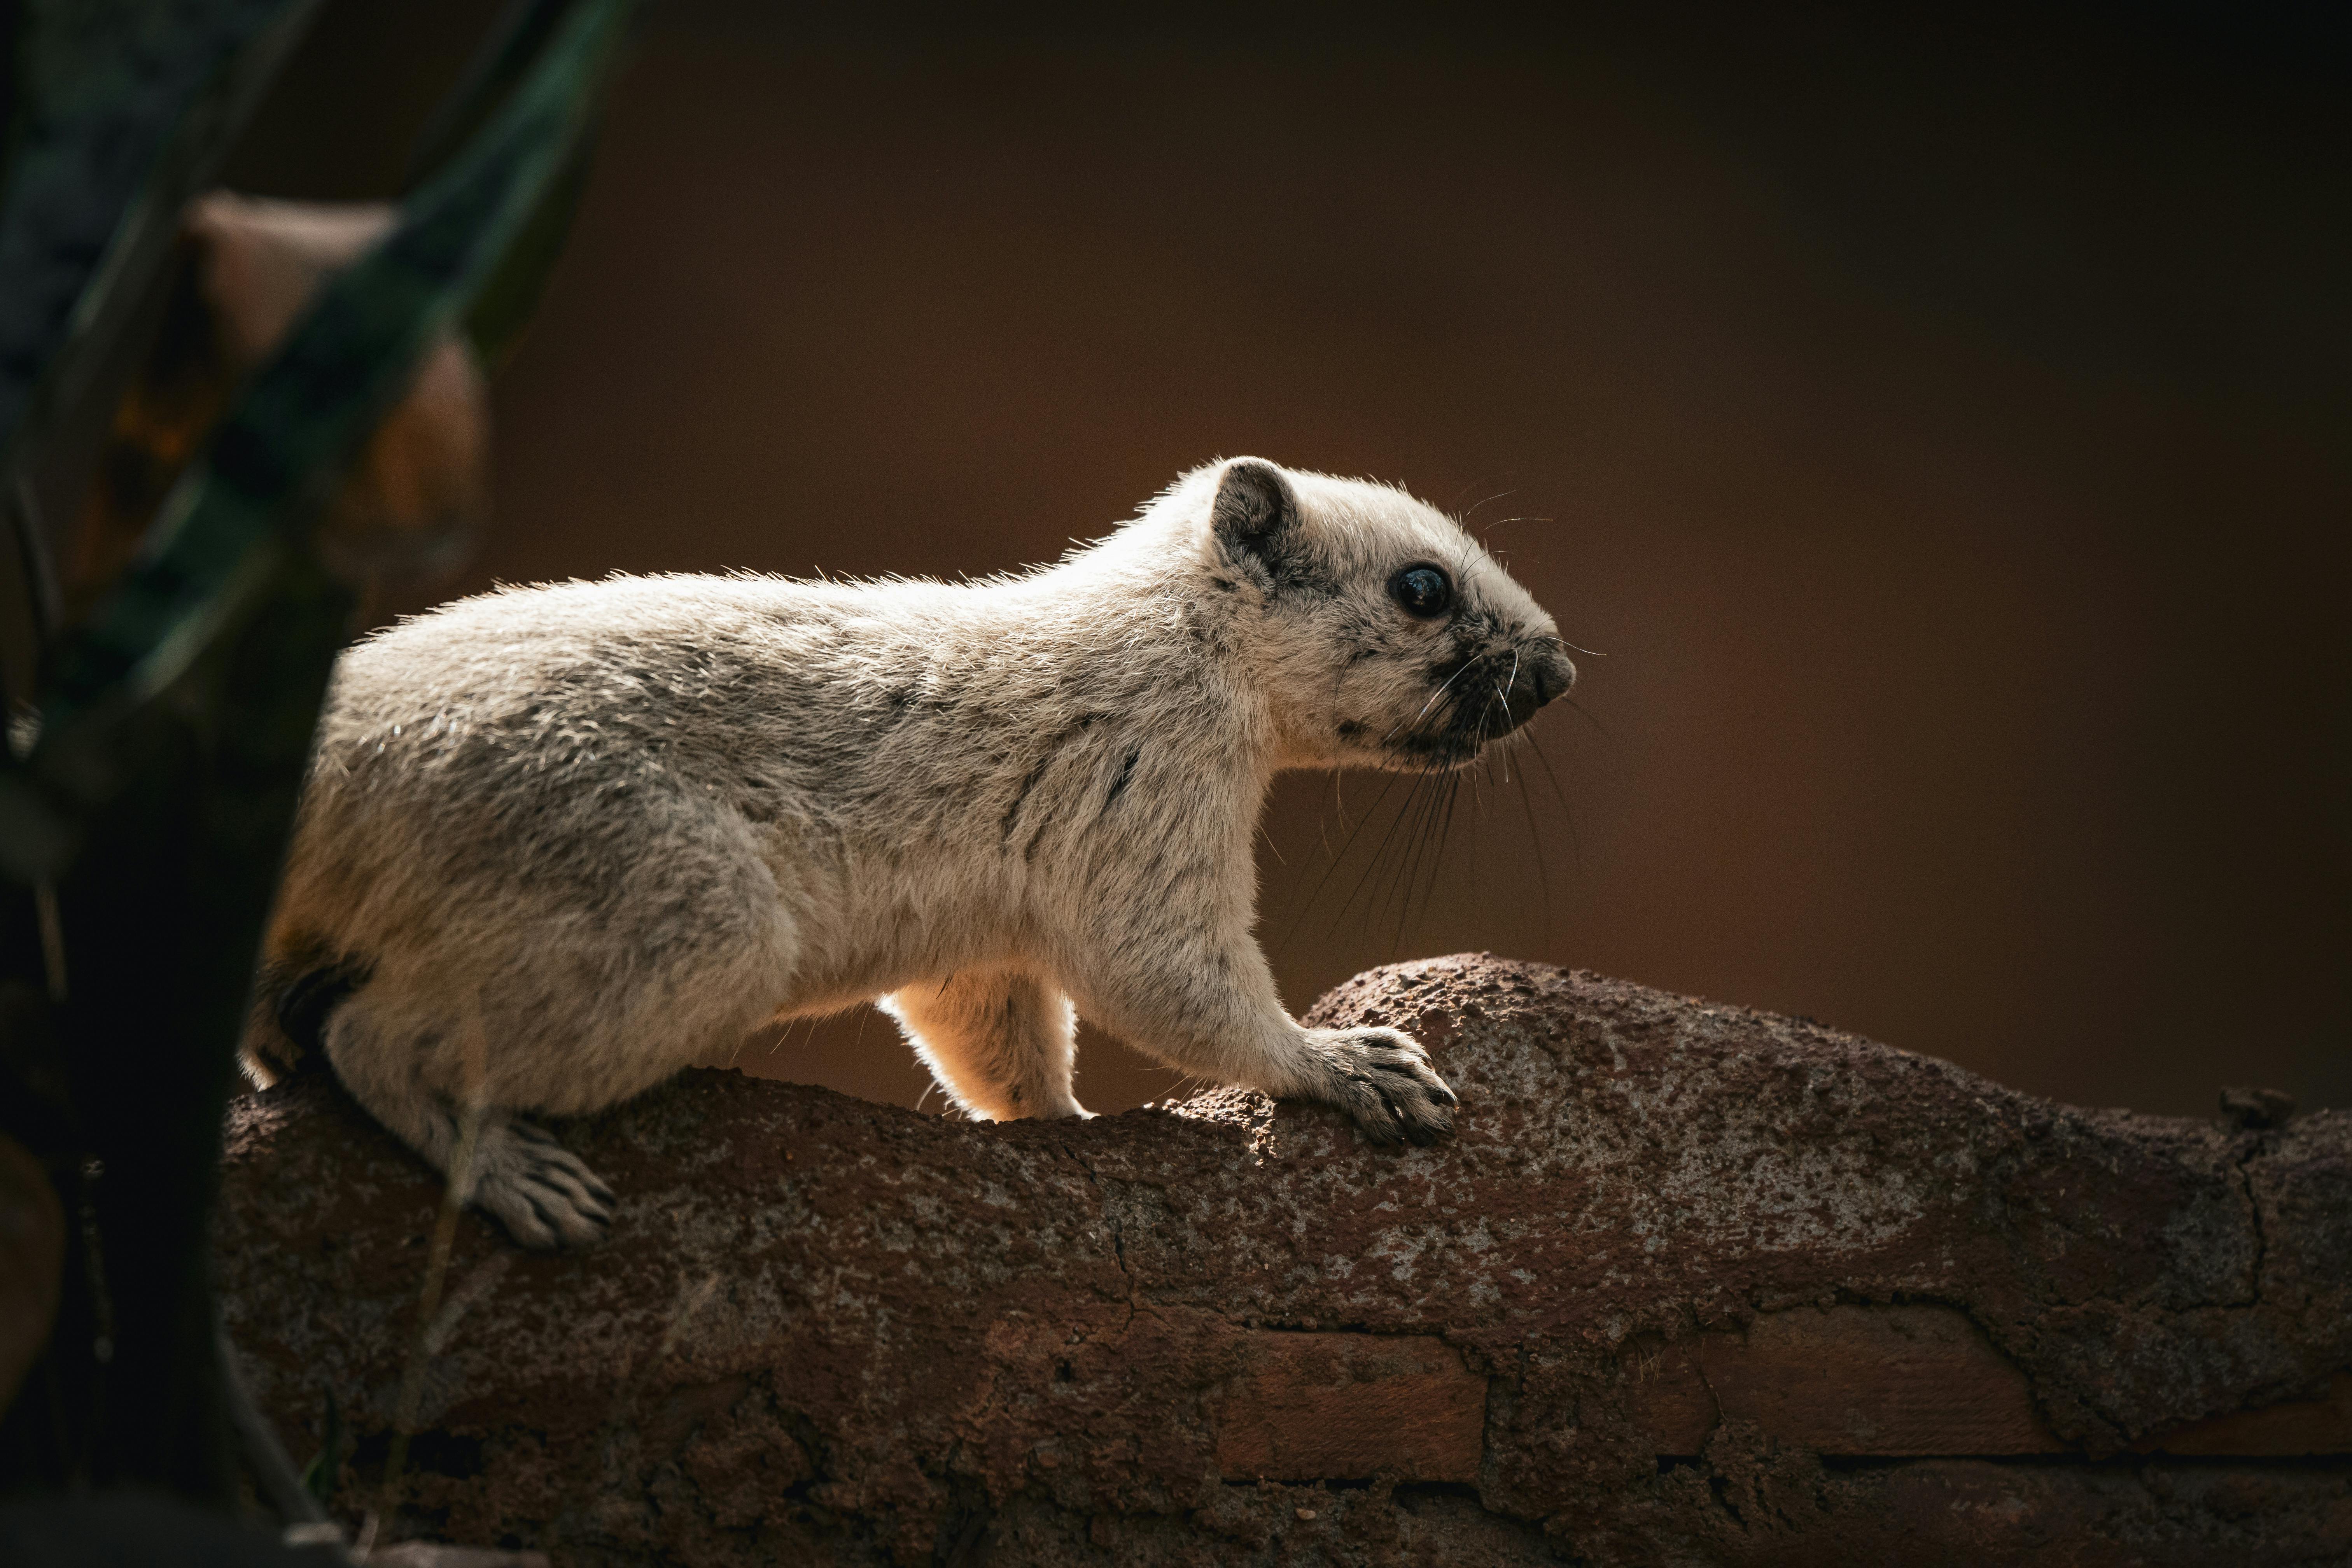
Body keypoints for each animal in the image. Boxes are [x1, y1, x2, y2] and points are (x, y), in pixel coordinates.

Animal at [244, 458, 1576, 1248]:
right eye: (1421, 588)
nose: (1560, 671)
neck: (1177, 642)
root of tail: (331, 770)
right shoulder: (1139, 803)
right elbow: (1182, 988)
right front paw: (1352, 1064)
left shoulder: (978, 954)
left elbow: (1006, 1057)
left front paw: (1063, 1124)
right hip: (671, 915)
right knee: (373, 1042)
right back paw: (517, 1176)